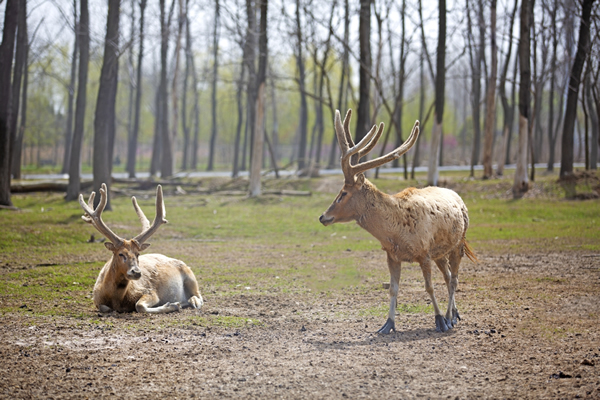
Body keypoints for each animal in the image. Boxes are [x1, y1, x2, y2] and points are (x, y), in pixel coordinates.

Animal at [79, 184, 204, 312]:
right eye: (120, 254)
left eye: (138, 254)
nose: (137, 272)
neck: (117, 300)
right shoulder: (96, 299)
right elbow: (105, 308)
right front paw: (174, 304)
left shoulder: (149, 291)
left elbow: (139, 306)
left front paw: (172, 305)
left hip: (190, 276)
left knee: (198, 295)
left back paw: (192, 302)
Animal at [322, 109, 476, 334]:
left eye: (343, 193)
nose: (323, 216)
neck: (395, 233)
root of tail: (459, 197)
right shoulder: (392, 256)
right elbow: (393, 289)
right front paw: (387, 324)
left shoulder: (424, 252)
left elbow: (429, 287)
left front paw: (439, 320)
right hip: (441, 252)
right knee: (448, 277)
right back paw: (455, 314)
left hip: (459, 243)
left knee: (454, 279)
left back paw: (449, 318)